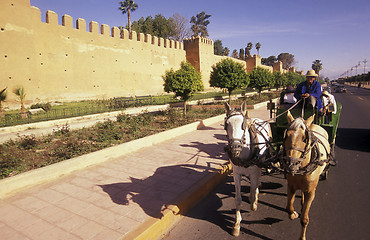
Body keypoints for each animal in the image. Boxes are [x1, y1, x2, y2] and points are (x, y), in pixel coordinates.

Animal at [223, 101, 272, 236]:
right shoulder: (236, 174)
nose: (235, 148)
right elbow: (238, 199)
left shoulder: (254, 171)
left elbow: (252, 191)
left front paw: (253, 203)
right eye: (226, 125)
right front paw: (236, 224)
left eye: (243, 125)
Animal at [282, 111, 330, 240]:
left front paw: (302, 237)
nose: (291, 165)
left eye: (304, 138)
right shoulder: (291, 186)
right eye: (286, 135)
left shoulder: (311, 191)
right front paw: (293, 214)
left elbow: (304, 219)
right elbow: (288, 207)